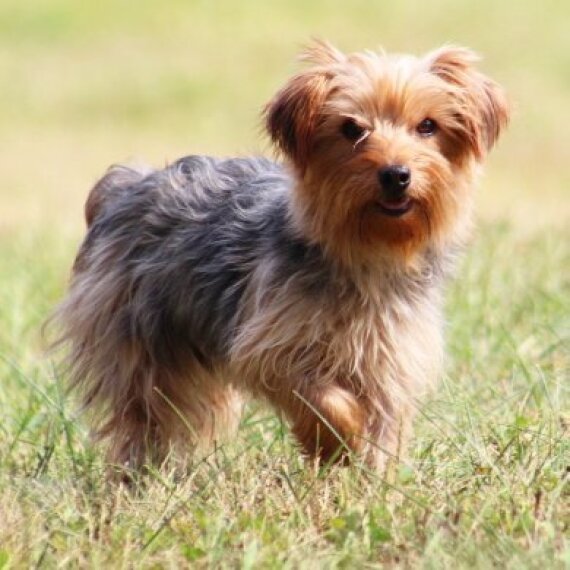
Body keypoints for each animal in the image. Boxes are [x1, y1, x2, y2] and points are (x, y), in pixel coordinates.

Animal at [52, 41, 509, 470]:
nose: (396, 174)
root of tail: (129, 181)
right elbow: (326, 399)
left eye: (428, 126)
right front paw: (336, 443)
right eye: (351, 128)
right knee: (145, 412)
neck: (368, 253)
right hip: (139, 334)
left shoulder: (390, 360)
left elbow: (382, 430)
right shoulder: (268, 347)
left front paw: (372, 480)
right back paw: (135, 476)